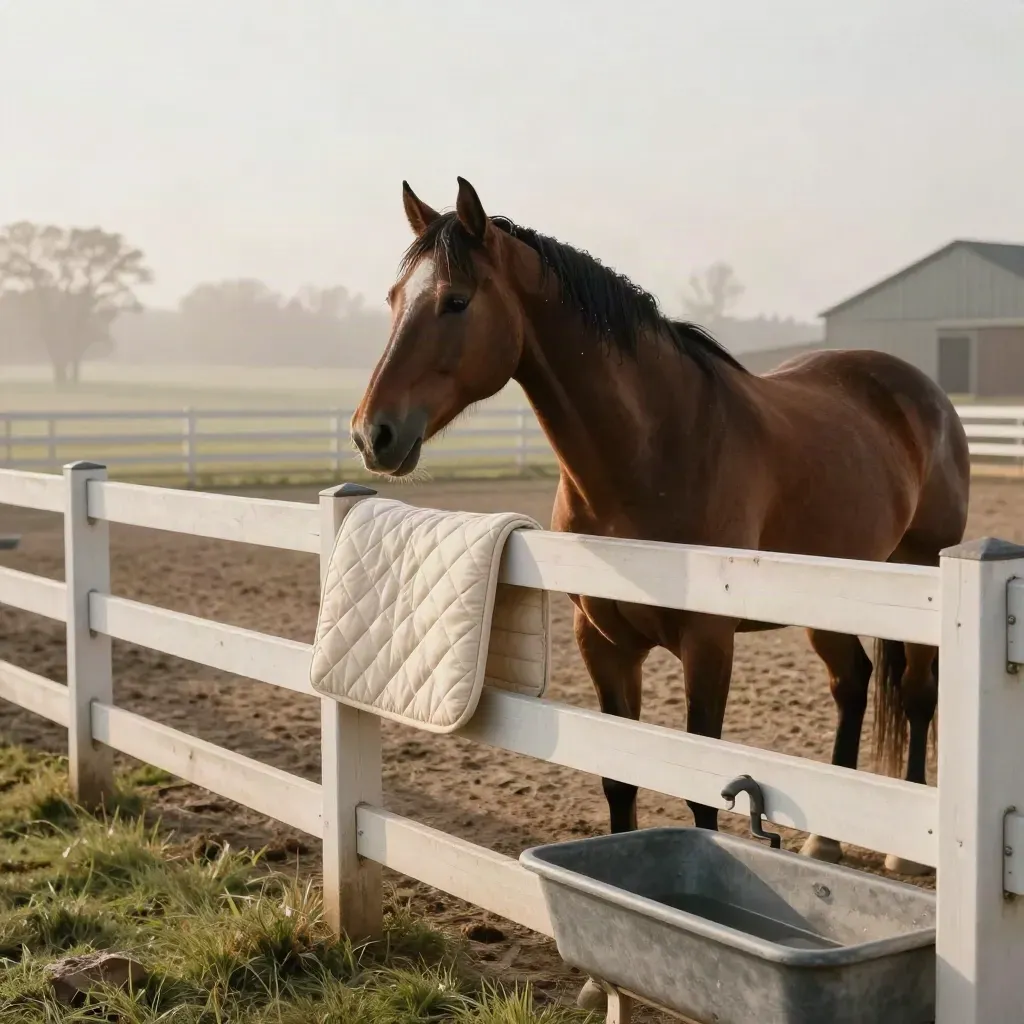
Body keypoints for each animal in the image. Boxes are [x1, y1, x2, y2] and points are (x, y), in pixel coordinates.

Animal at [351, 176, 969, 888]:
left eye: (455, 300)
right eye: (395, 298)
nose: (373, 433)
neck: (655, 452)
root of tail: (923, 394)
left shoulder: (708, 645)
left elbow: (700, 798)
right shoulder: (605, 644)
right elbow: (621, 779)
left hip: (920, 578)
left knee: (918, 695)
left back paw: (903, 850)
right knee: (854, 682)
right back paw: (826, 842)